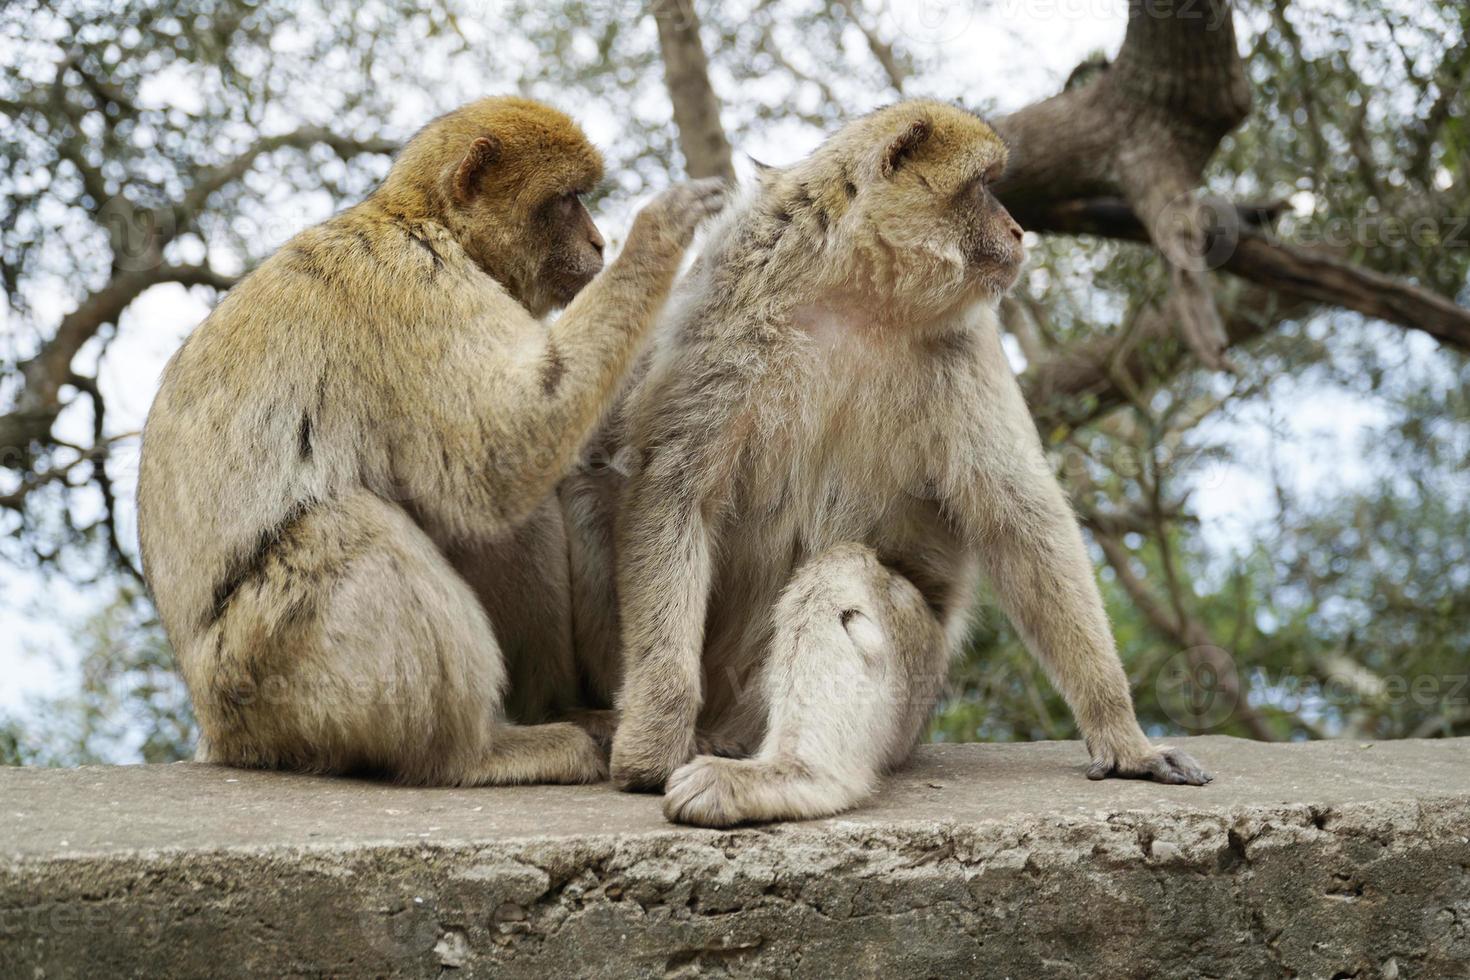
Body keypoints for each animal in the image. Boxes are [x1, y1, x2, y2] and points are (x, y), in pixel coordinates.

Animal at [140, 95, 726, 787]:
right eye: (568, 200)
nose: (599, 241)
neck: (422, 219)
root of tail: (220, 733)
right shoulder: (414, 284)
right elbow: (504, 449)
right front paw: (661, 232)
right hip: (267, 679)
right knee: (349, 530)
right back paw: (471, 753)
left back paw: (558, 712)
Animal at [602, 99, 1211, 822]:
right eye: (982, 186)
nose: (1018, 230)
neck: (858, 295)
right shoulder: (725, 306)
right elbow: (675, 491)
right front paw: (651, 737)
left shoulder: (967, 344)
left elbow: (1019, 521)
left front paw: (1123, 735)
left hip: (912, 694)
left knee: (848, 582)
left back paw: (791, 776)